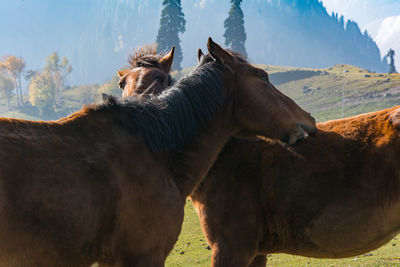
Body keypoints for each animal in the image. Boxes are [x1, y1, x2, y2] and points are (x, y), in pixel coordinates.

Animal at [120, 49, 400, 266]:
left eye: (160, 78)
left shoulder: (231, 250)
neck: (228, 157)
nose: (134, 115)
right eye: (123, 84)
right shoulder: (256, 253)